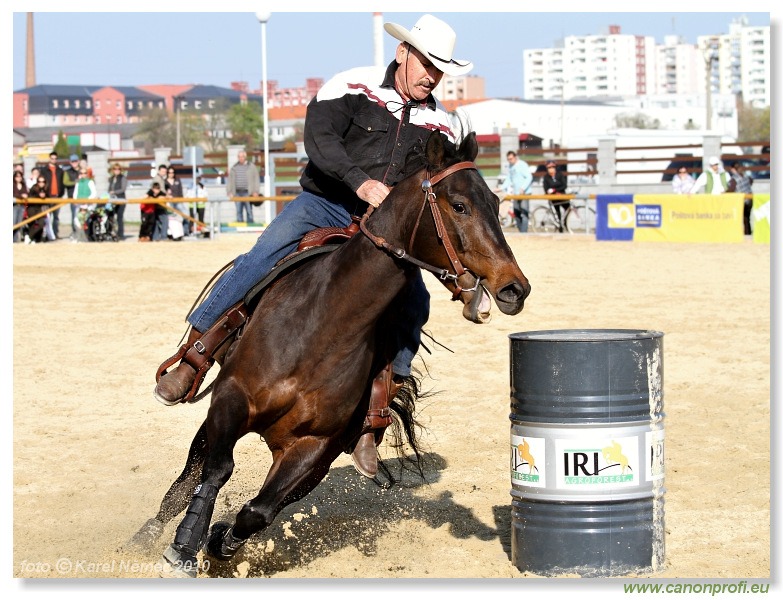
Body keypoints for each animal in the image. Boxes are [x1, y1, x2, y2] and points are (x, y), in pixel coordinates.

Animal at [135, 130, 532, 576]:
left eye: (497, 203)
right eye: (460, 205)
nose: (514, 287)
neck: (325, 324)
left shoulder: (314, 447)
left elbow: (258, 512)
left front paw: (219, 541)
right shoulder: (231, 397)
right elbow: (216, 469)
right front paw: (184, 546)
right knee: (191, 472)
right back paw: (149, 532)